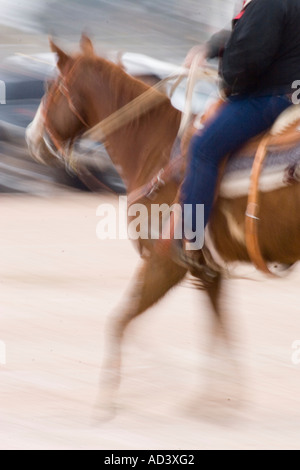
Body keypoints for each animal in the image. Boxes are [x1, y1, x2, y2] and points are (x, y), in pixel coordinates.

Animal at [26, 35, 300, 414]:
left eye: (52, 86)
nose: (31, 136)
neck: (155, 148)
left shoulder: (164, 262)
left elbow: (120, 320)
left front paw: (108, 402)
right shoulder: (207, 269)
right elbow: (220, 327)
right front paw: (219, 403)